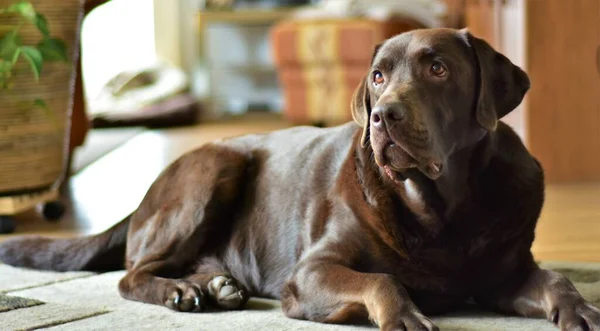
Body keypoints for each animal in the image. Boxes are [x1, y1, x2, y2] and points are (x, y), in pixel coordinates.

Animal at [1, 28, 600, 331]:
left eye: (438, 69)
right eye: (377, 76)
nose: (383, 116)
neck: (439, 207)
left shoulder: (504, 273)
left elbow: (557, 280)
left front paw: (579, 309)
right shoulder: (312, 270)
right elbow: (382, 281)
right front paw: (405, 316)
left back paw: (215, 284)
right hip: (214, 170)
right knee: (132, 274)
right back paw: (182, 291)